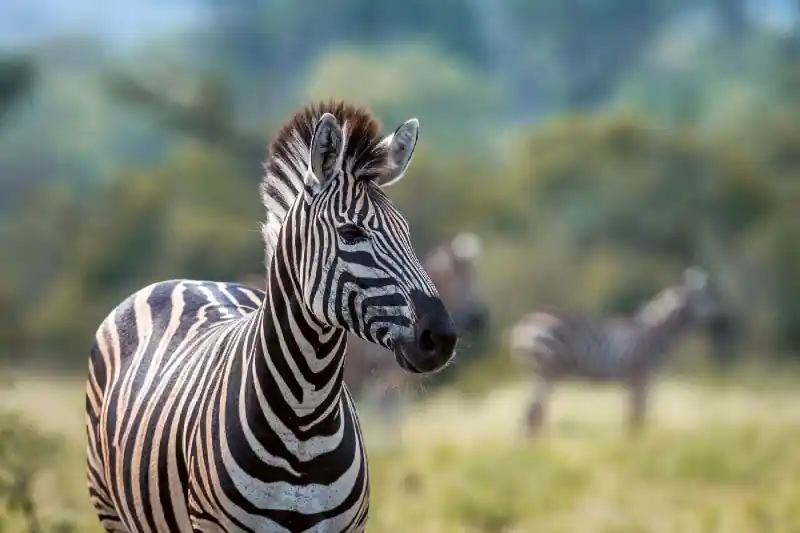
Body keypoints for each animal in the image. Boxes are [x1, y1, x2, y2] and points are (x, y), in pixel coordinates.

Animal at [84, 100, 458, 533]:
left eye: (407, 233)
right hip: (109, 506)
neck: (305, 417)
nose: (441, 337)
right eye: (350, 234)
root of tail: (186, 280)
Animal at [507, 266, 717, 436]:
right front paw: (639, 440)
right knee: (534, 409)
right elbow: (639, 411)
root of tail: (524, 323)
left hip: (540, 372)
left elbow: (634, 411)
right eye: (704, 299)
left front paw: (633, 439)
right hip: (546, 369)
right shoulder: (641, 375)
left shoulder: (634, 380)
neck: (656, 333)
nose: (716, 317)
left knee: (532, 409)